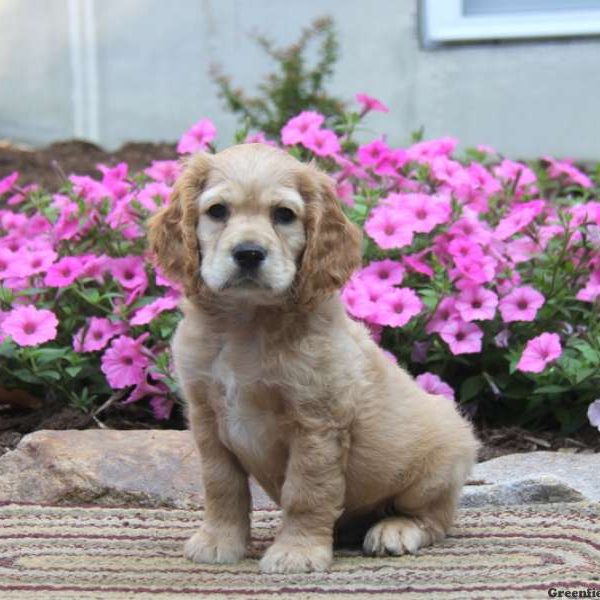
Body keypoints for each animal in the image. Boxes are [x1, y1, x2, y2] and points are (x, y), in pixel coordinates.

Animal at [149, 143, 478, 576]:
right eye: (217, 211)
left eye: (284, 215)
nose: (249, 253)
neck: (246, 323)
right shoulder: (206, 417)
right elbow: (222, 485)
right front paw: (218, 541)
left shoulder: (317, 423)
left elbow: (306, 492)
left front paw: (297, 552)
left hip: (438, 465)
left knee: (435, 517)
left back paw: (396, 529)